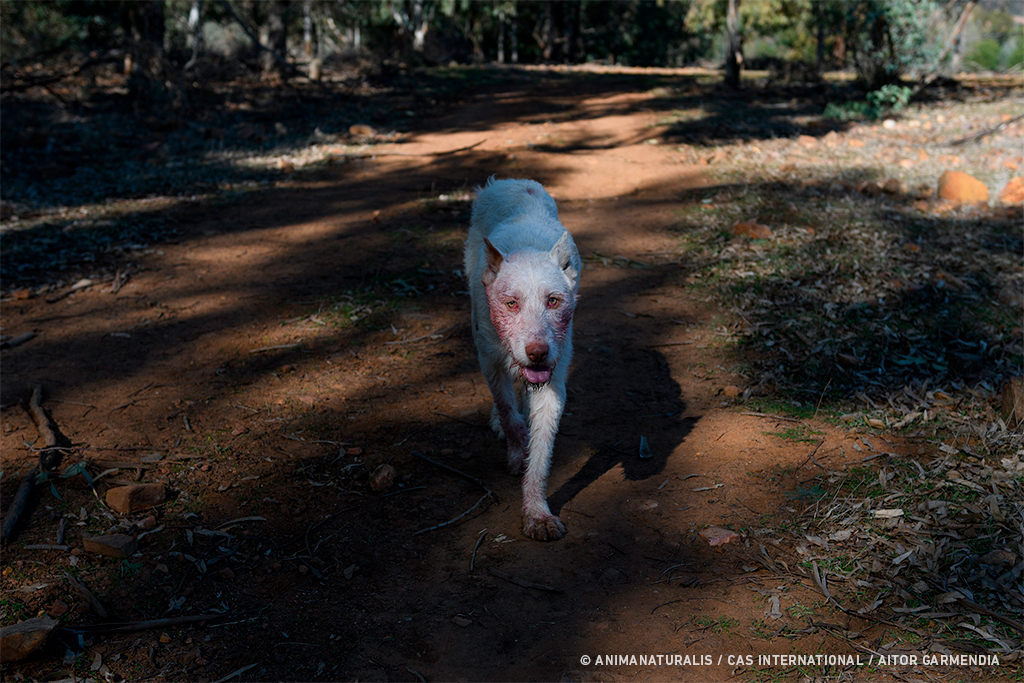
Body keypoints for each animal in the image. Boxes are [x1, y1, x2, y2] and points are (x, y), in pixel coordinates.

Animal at [462, 179, 581, 540]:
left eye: (553, 301)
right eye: (511, 303)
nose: (537, 352)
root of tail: (510, 182)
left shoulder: (553, 381)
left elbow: (542, 453)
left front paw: (537, 514)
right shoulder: (490, 361)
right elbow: (509, 414)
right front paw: (517, 453)